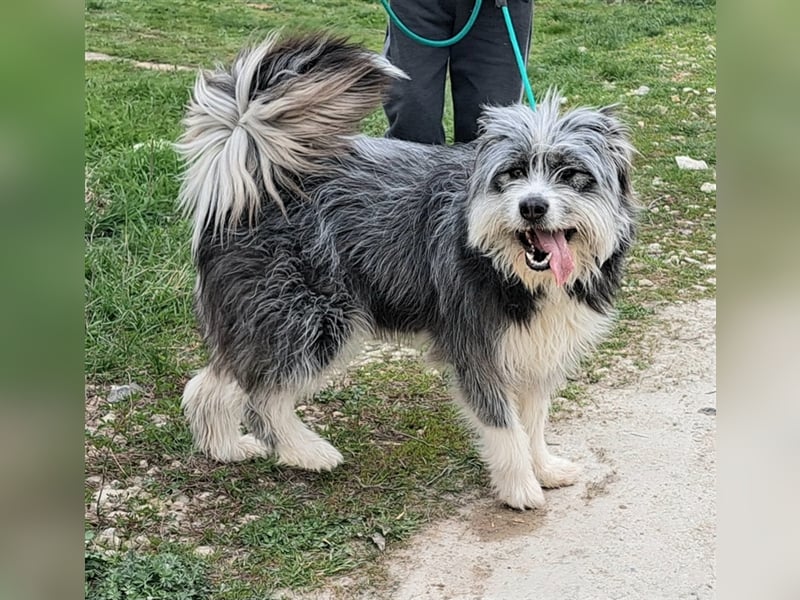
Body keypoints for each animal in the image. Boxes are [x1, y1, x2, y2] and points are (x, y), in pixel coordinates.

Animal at [177, 34, 636, 510]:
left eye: (571, 174)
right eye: (512, 173)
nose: (532, 206)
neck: (512, 272)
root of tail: (252, 181)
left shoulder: (537, 349)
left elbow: (534, 420)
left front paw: (543, 467)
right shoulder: (476, 348)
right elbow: (504, 426)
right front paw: (520, 488)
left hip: (263, 321)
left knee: (213, 383)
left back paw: (226, 446)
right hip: (309, 319)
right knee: (263, 398)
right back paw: (306, 452)